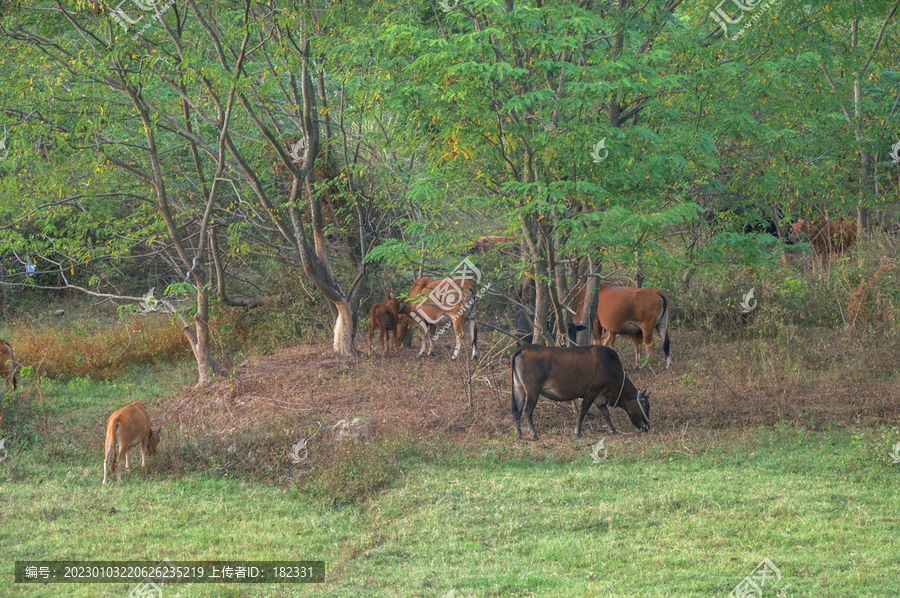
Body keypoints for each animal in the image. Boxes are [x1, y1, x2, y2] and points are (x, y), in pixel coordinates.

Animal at [510, 344, 652, 438]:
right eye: (646, 407)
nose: (648, 427)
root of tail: (523, 348)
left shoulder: (599, 397)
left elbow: (605, 414)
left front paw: (614, 430)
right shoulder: (591, 392)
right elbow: (583, 412)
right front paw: (578, 432)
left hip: (519, 387)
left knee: (517, 409)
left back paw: (518, 433)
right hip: (532, 390)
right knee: (527, 410)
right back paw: (533, 434)